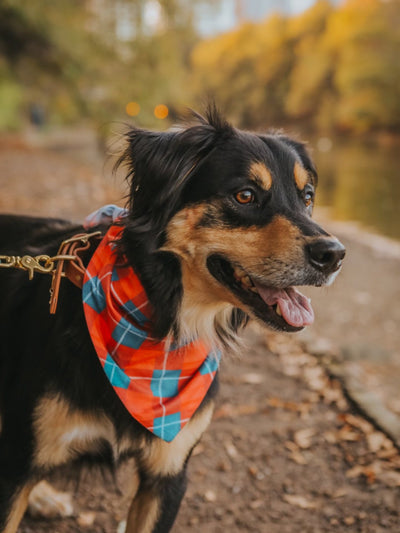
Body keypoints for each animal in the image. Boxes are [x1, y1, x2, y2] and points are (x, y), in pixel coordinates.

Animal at [0, 108, 344, 532]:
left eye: (307, 197)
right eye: (245, 195)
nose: (334, 255)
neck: (164, 329)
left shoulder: (168, 475)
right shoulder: (18, 462)